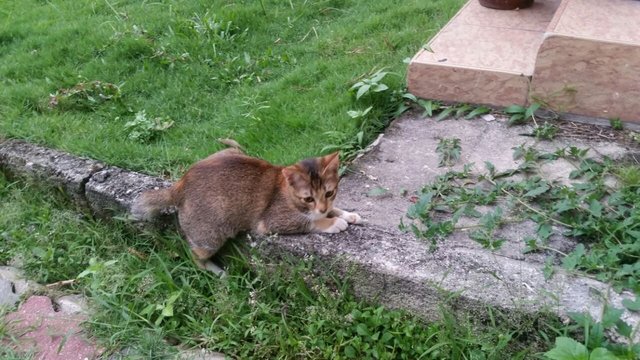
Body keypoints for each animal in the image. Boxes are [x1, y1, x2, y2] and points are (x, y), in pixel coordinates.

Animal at [131, 139, 360, 274]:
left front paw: (347, 214)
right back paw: (218, 273)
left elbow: (333, 208)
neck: (286, 189)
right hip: (210, 236)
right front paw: (332, 222)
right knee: (194, 255)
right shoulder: (270, 222)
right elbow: (308, 221)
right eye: (308, 199)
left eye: (329, 193)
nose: (321, 208)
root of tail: (179, 184)